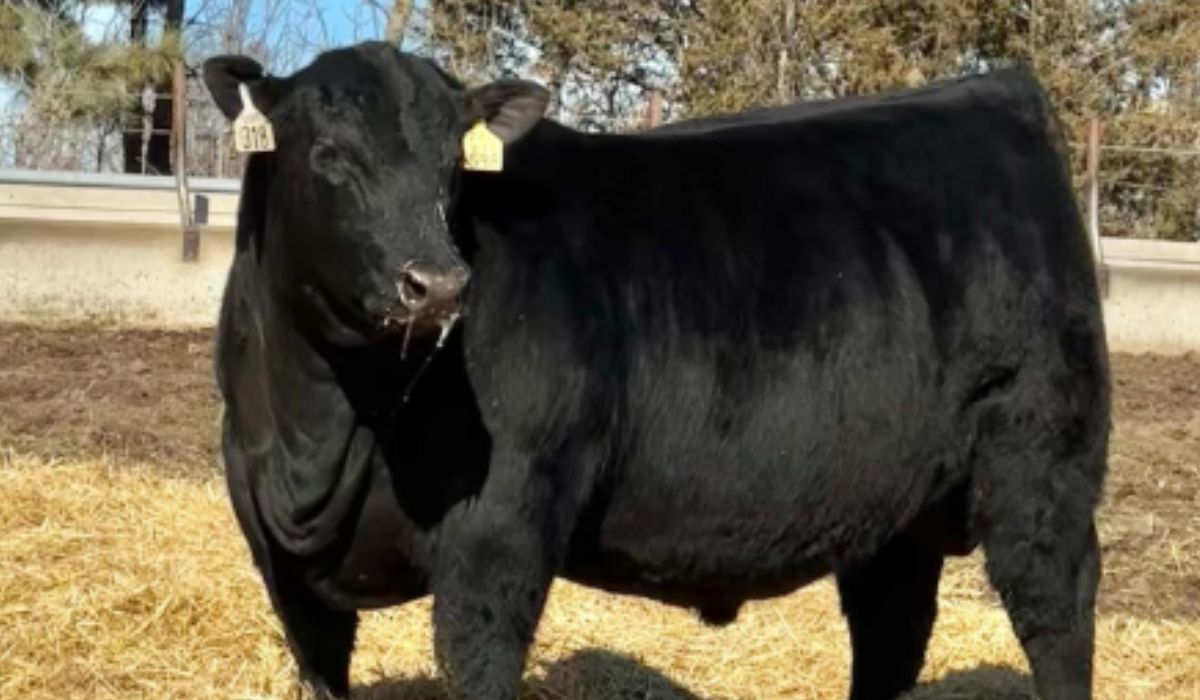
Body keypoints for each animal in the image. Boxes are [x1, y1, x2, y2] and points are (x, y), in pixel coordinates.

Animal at [204, 42, 1104, 700]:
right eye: (328, 153)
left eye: (452, 168)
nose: (440, 283)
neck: (315, 425)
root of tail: (996, 92)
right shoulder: (283, 571)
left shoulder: (498, 538)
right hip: (899, 506)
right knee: (890, 629)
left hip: (1042, 465)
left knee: (1056, 614)